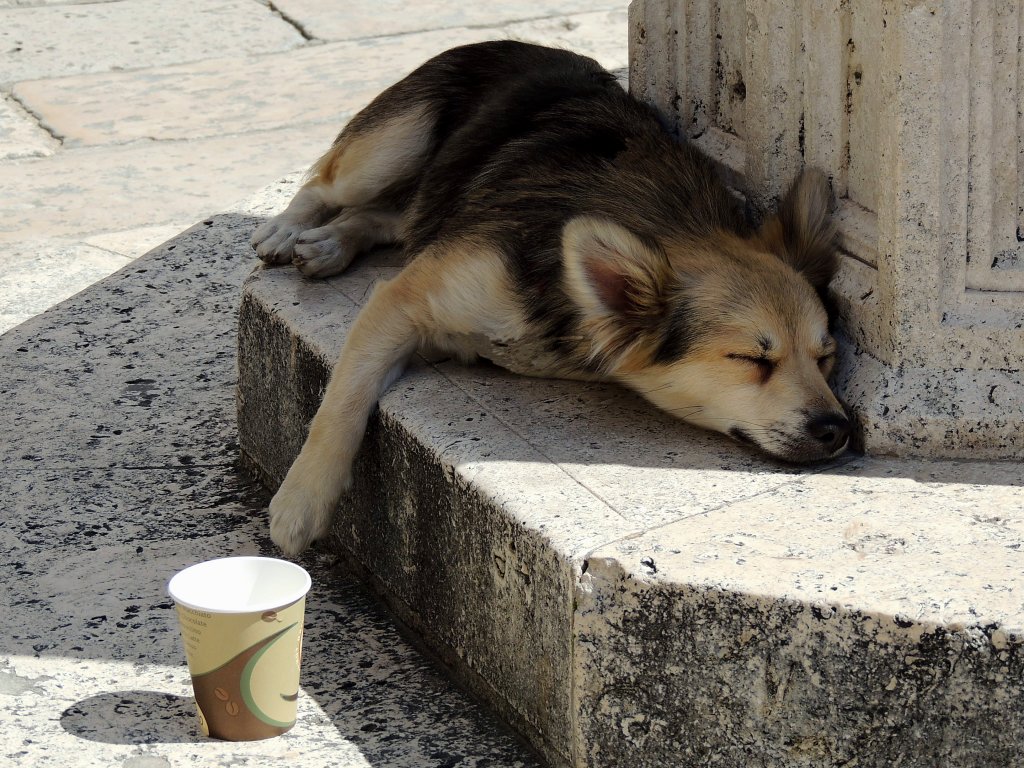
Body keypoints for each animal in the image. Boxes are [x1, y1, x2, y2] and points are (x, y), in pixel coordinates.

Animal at [247, 41, 847, 557]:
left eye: (825, 357)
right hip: (392, 144)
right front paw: (301, 500)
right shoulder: (401, 301)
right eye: (750, 359)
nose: (837, 429)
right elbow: (341, 405)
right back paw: (288, 229)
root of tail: (521, 43)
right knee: (326, 185)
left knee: (387, 215)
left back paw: (330, 242)